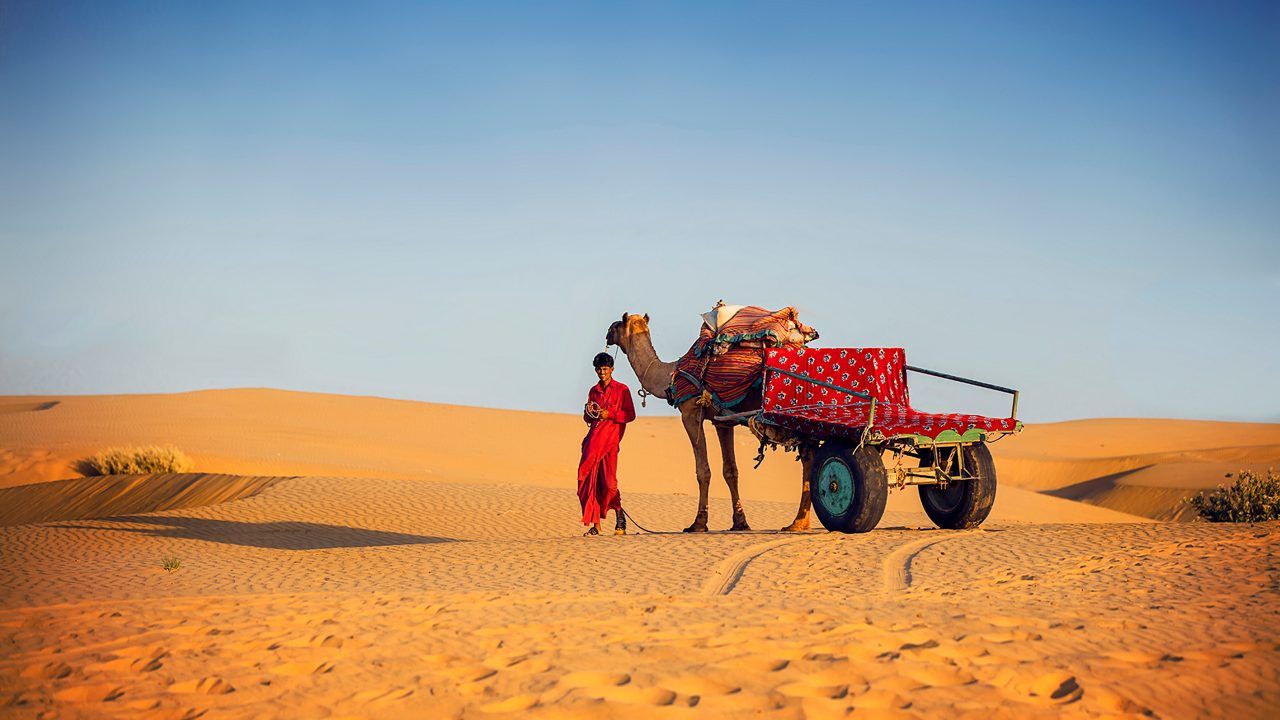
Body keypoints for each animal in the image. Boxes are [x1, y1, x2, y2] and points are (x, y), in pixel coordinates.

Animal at [606, 312, 814, 532]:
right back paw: (801, 521)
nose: (607, 334)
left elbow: (703, 471)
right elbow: (730, 470)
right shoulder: (722, 422)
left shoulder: (690, 413)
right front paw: (740, 522)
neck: (670, 376)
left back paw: (798, 522)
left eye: (616, 325)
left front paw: (698, 523)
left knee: (809, 460)